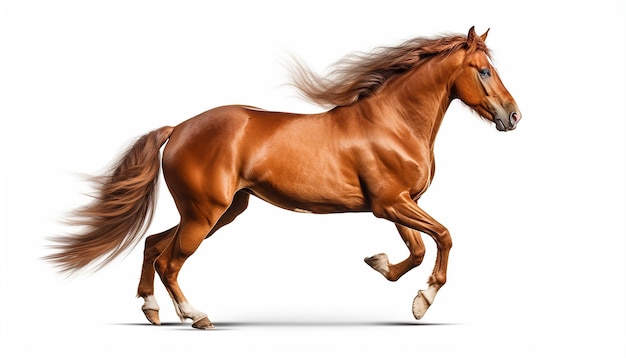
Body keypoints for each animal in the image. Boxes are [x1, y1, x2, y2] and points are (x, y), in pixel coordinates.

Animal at [46, 27, 520, 330]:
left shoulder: (399, 204)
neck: (393, 123)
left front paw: (385, 269)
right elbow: (443, 238)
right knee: (170, 261)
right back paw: (196, 317)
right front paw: (424, 299)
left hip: (218, 213)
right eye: (483, 70)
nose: (513, 116)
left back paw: (151, 310)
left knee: (152, 245)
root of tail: (178, 129)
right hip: (205, 213)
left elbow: (419, 250)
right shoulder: (391, 204)